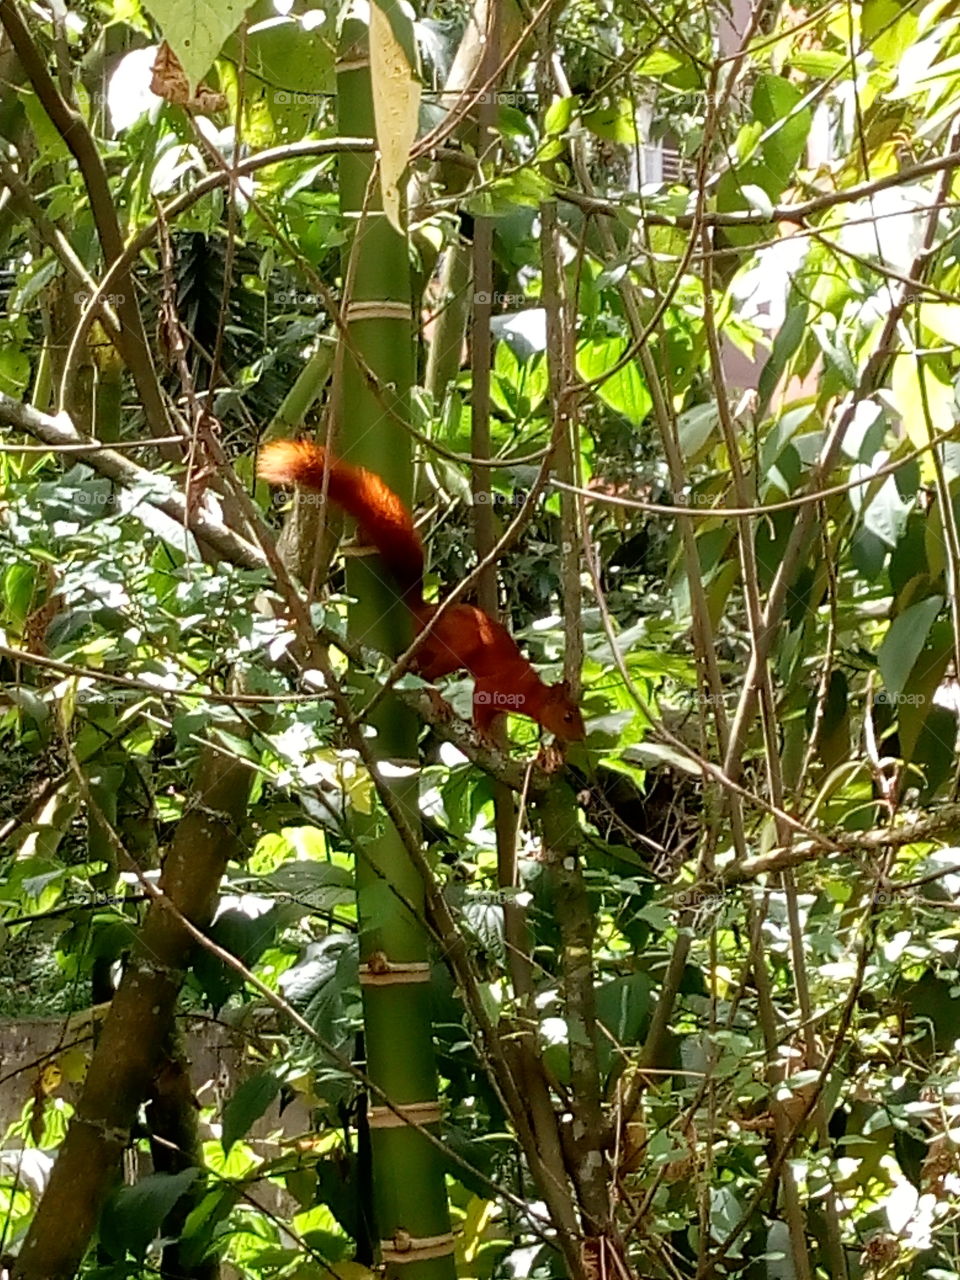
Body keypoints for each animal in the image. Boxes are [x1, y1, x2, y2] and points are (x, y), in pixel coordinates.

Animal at [257, 440, 585, 742]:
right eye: (568, 717)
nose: (581, 737)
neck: (530, 689)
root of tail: (422, 610)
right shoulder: (495, 686)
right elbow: (480, 703)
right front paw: (483, 733)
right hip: (453, 646)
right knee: (427, 676)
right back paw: (439, 700)